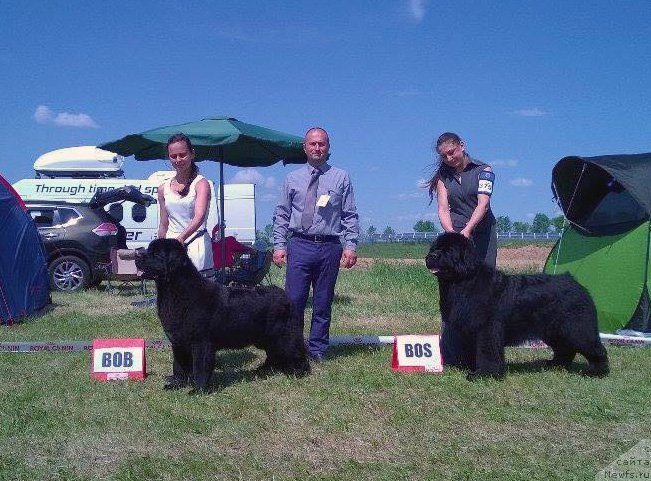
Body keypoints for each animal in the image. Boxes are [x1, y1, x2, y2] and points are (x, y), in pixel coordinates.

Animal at [135, 238, 310, 392]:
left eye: (156, 254)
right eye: (149, 250)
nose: (137, 255)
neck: (176, 291)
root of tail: (284, 295)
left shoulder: (201, 342)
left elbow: (200, 367)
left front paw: (199, 389)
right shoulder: (178, 342)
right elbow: (179, 366)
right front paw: (177, 384)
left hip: (283, 335)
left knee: (295, 350)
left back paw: (299, 372)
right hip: (265, 338)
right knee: (273, 353)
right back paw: (264, 370)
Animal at [426, 231, 608, 380]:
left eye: (449, 250)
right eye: (434, 248)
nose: (432, 256)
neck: (464, 281)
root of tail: (575, 283)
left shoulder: (487, 329)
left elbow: (487, 352)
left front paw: (484, 374)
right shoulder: (472, 330)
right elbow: (476, 350)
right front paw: (473, 367)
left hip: (575, 328)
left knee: (594, 347)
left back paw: (597, 371)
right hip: (554, 330)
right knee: (565, 348)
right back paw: (555, 364)